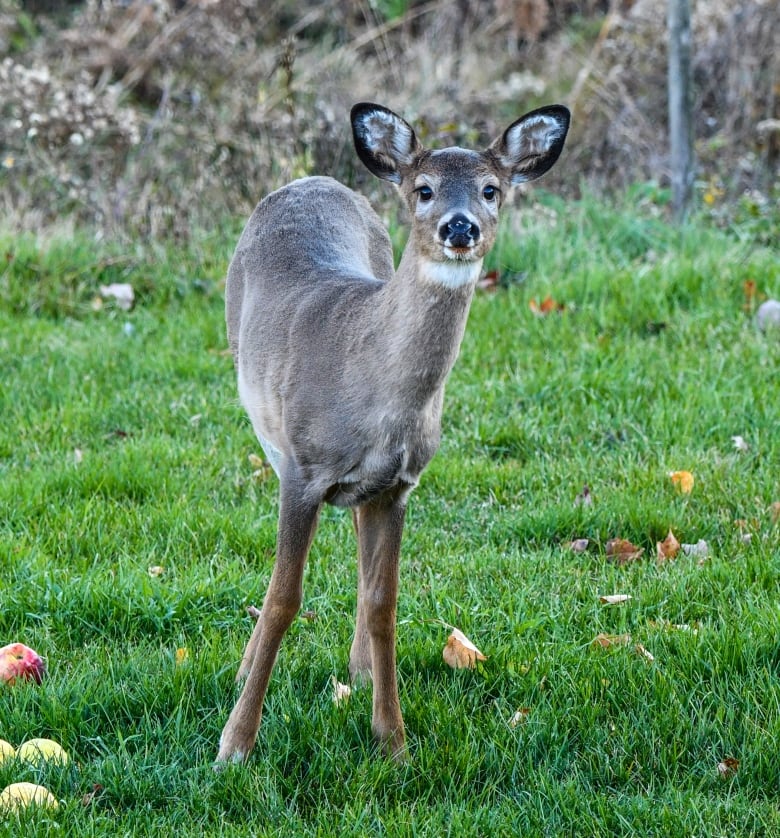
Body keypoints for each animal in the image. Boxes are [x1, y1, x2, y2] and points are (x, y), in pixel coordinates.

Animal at [216, 101, 568, 764]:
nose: (461, 227)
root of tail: (313, 180)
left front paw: (392, 740)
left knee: (358, 546)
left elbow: (384, 602)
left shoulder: (401, 484)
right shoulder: (301, 471)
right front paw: (236, 744)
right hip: (264, 423)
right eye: (424, 189)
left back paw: (355, 672)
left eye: (491, 189)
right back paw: (248, 671)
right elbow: (283, 597)